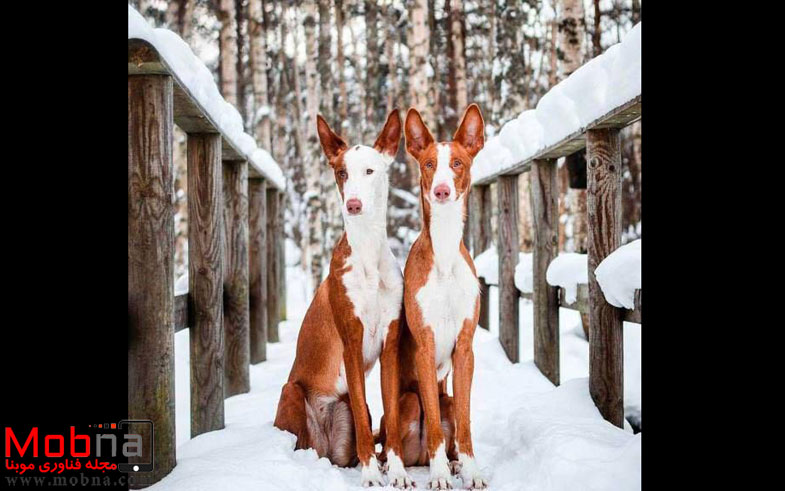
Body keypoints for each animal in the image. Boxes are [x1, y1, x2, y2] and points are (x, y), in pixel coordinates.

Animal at [272, 110, 414, 488]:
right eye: (341, 173)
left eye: (370, 171)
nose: (353, 204)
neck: (367, 256)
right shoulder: (351, 341)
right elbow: (367, 423)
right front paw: (371, 474)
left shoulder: (389, 345)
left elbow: (391, 415)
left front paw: (396, 471)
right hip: (293, 392)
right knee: (302, 438)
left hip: (344, 411)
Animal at [378, 103, 486, 488]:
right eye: (427, 164)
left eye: (457, 163)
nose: (440, 191)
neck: (444, 256)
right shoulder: (425, 346)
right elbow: (437, 429)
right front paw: (438, 476)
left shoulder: (466, 349)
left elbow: (466, 425)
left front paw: (471, 471)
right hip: (408, 400)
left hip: (448, 398)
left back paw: (454, 464)